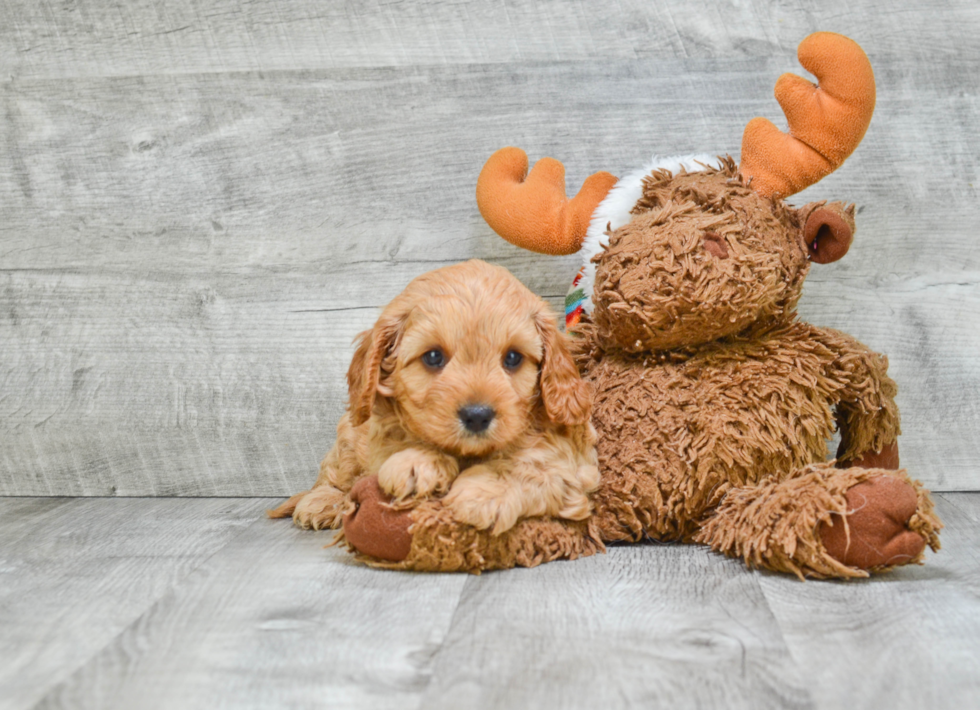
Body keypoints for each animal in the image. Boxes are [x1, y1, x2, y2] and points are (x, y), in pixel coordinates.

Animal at [272, 262, 600, 540]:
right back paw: (322, 502)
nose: (477, 415)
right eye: (432, 356)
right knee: (335, 474)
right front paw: (417, 462)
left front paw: (484, 493)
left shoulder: (578, 465)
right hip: (348, 437)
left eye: (512, 358)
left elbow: (533, 464)